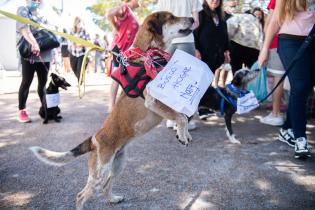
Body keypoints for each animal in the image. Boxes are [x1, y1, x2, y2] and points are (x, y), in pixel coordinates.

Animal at [29, 11, 195, 210]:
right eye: (171, 17)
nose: (193, 19)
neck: (145, 54)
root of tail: (93, 140)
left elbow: (181, 114)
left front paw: (183, 134)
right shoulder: (153, 101)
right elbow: (181, 116)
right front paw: (183, 134)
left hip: (118, 164)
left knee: (105, 186)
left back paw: (113, 199)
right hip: (100, 171)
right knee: (81, 195)